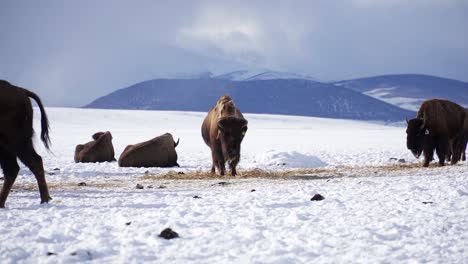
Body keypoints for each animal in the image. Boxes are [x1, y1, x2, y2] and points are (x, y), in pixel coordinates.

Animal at [0, 79, 51, 207]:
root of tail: (22, 91)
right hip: (6, 148)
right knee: (12, 170)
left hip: (16, 142)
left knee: (35, 161)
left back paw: (44, 200)